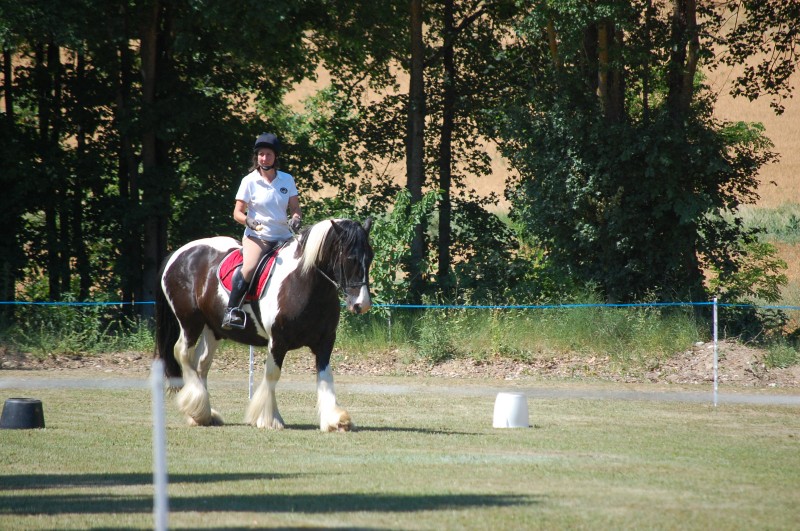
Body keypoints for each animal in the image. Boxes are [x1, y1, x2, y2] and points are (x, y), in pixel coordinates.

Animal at [154, 217, 373, 432]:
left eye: (370, 257)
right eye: (350, 258)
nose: (361, 305)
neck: (303, 282)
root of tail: (178, 254)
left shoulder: (325, 342)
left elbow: (325, 376)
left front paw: (335, 420)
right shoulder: (278, 342)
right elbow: (272, 375)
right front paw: (269, 419)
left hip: (213, 329)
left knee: (201, 363)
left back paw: (203, 414)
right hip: (190, 322)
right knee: (182, 352)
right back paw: (196, 406)